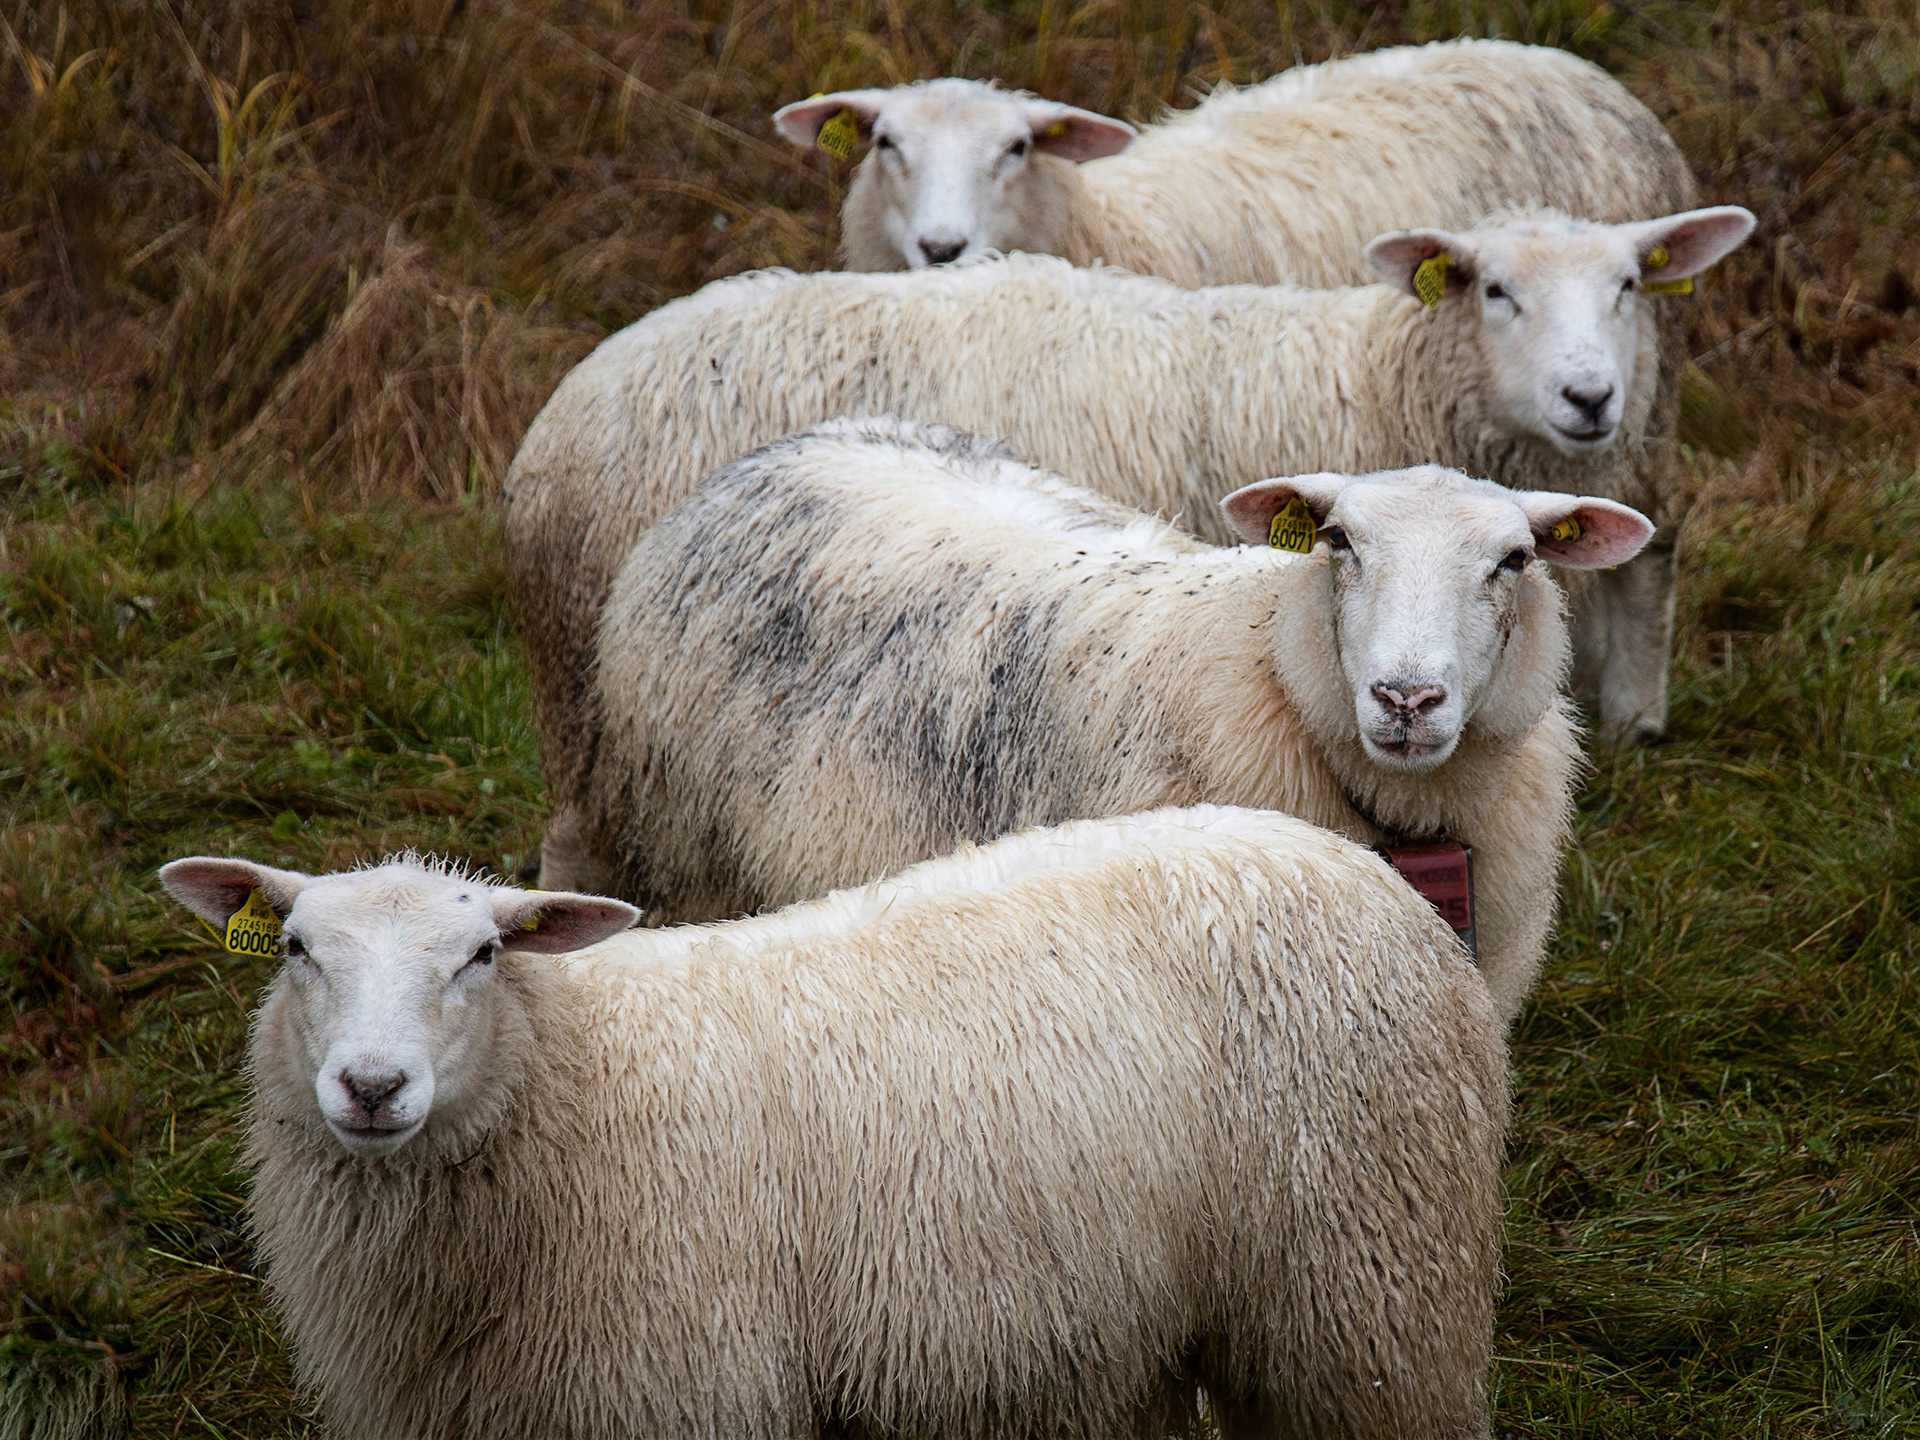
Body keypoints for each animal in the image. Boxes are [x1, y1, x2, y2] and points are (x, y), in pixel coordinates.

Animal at [159, 802, 1507, 1440]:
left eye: (483, 956)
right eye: (296, 950)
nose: (372, 1087)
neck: (580, 1086)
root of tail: (1363, 871)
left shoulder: (684, 1391)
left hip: (1377, 1300)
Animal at [503, 206, 1753, 889]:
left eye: (1629, 286)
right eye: (1495, 289)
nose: (1592, 399)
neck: (1356, 372)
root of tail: (579, 387)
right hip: (603, 728)